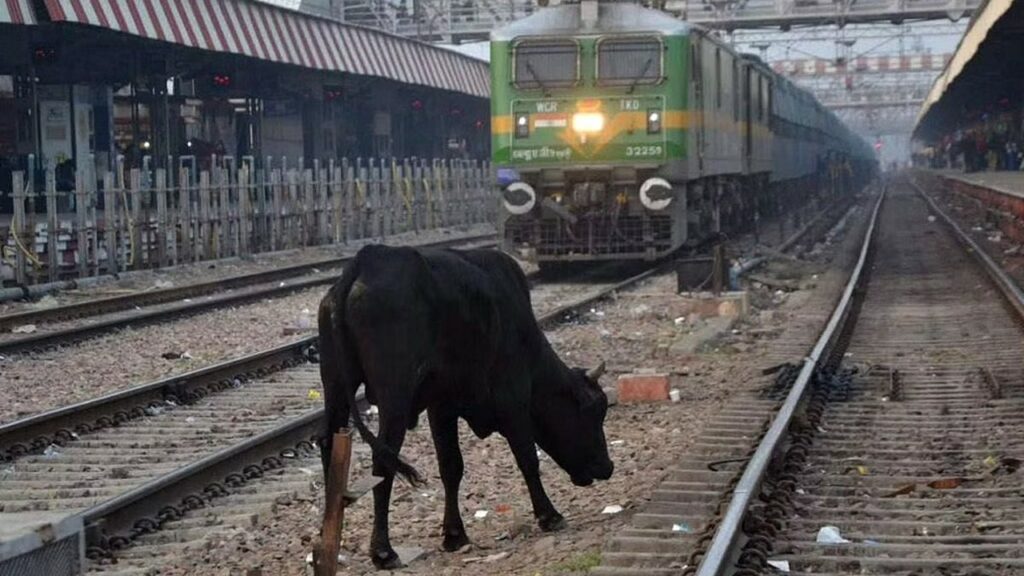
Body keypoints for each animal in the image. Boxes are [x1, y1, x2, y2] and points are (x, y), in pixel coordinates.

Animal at [315, 241, 610, 565]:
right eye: (595, 413)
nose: (607, 467)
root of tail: (367, 259)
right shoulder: (513, 399)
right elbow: (527, 459)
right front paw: (549, 515)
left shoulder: (441, 408)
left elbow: (451, 467)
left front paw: (454, 534)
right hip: (394, 398)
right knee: (383, 460)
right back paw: (382, 549)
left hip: (335, 385)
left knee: (329, 444)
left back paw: (330, 536)